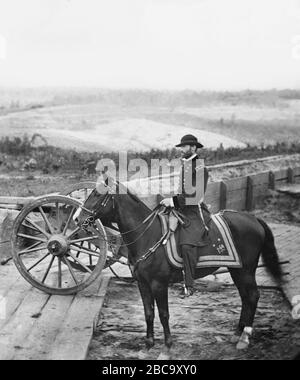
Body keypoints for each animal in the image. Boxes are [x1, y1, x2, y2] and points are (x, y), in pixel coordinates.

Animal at [73, 180, 284, 352]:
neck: (147, 235)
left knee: (253, 296)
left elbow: (164, 313)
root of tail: (253, 218)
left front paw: (167, 343)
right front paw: (149, 343)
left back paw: (245, 337)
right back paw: (237, 333)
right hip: (237, 270)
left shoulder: (159, 284)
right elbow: (148, 312)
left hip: (246, 270)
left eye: (97, 194)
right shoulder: (142, 283)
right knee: (246, 298)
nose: (77, 218)